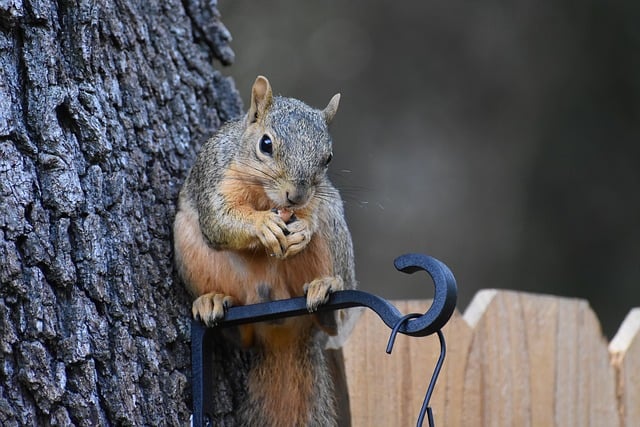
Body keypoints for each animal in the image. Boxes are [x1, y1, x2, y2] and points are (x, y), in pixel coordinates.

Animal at [172, 75, 358, 426]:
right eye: (266, 144)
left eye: (328, 158)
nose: (296, 196)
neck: (264, 196)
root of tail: (281, 326)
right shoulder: (215, 178)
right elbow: (218, 221)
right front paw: (262, 226)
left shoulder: (317, 202)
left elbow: (309, 217)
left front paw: (302, 229)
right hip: (187, 242)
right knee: (240, 334)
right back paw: (212, 301)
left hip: (333, 231)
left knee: (332, 322)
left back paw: (325, 288)